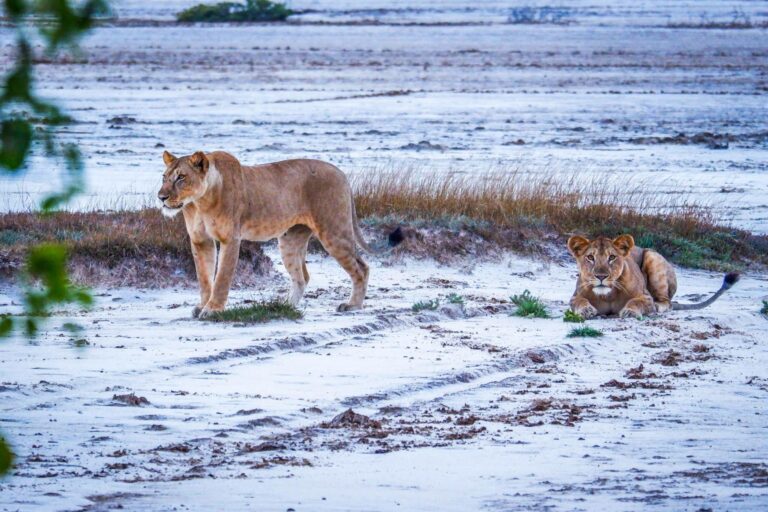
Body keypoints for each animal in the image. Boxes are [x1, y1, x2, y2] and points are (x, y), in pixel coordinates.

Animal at [157, 150, 402, 318]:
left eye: (181, 177)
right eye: (164, 177)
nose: (161, 197)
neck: (198, 203)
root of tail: (341, 173)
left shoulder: (231, 239)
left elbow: (221, 279)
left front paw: (213, 310)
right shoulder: (201, 241)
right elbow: (204, 278)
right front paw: (202, 306)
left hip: (334, 231)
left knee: (361, 267)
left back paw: (352, 306)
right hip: (290, 241)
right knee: (302, 277)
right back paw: (285, 305)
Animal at [567, 234, 739, 319]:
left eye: (612, 257)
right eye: (590, 257)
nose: (601, 276)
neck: (607, 295)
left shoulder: (646, 297)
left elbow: (636, 302)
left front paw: (630, 312)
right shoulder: (575, 297)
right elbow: (580, 301)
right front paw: (586, 310)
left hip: (652, 256)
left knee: (667, 302)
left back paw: (658, 306)